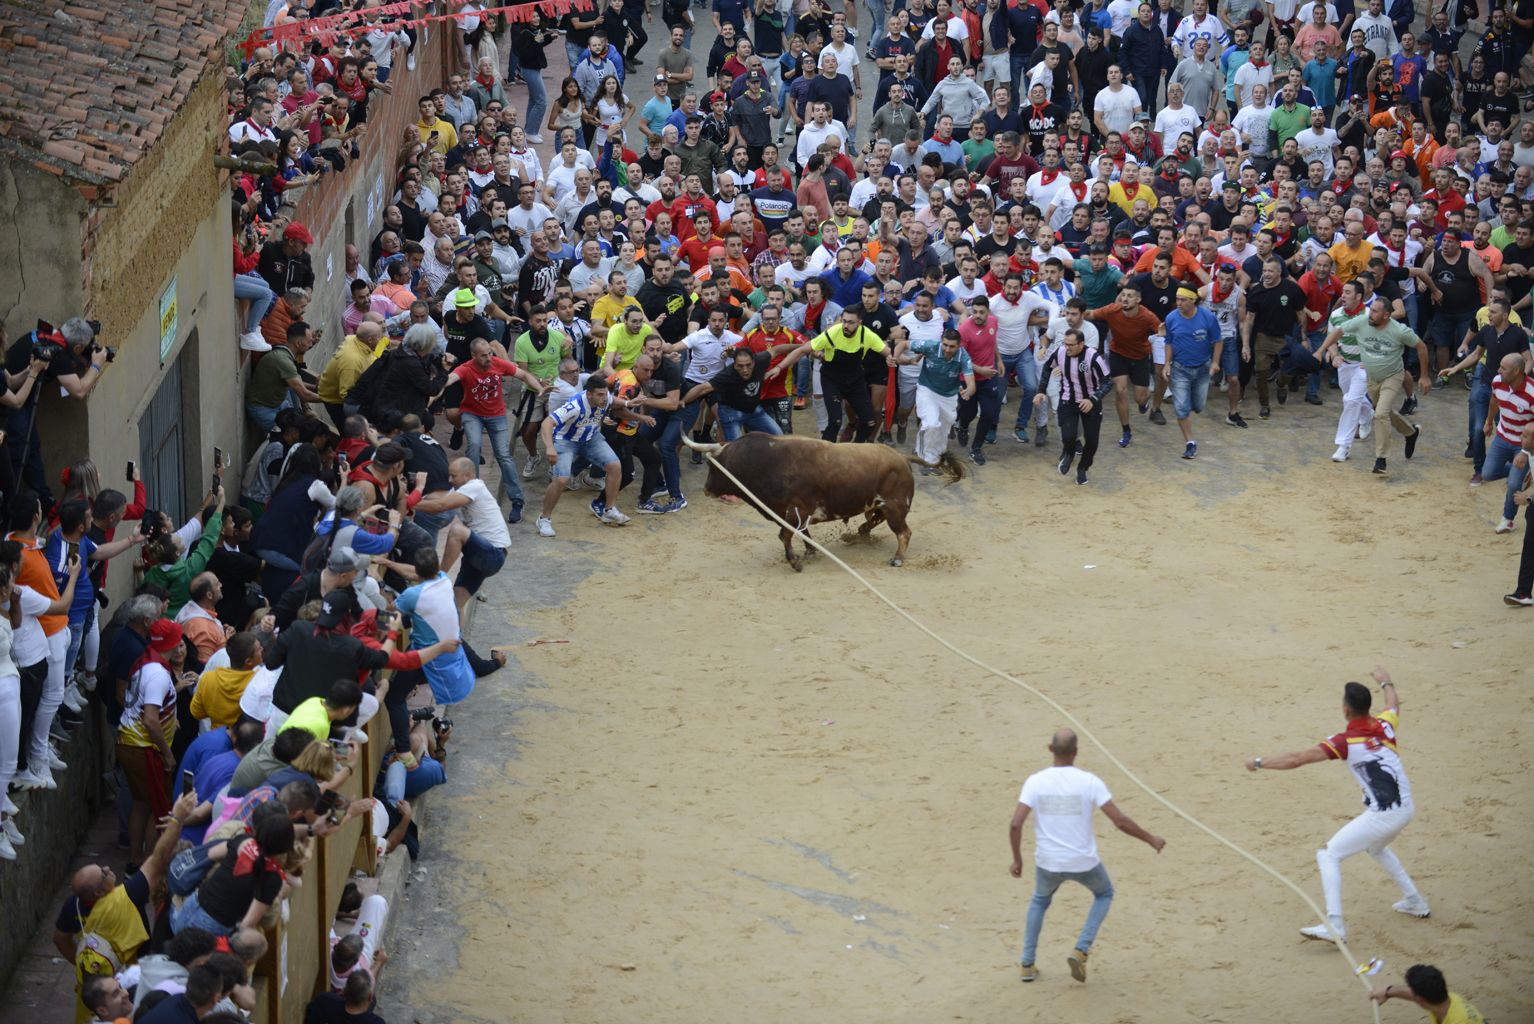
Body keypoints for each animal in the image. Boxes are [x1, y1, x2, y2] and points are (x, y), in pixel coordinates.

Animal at [681, 435, 957, 573]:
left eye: (712, 467)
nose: (705, 489)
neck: (767, 462)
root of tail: (901, 457)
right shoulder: (796, 514)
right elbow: (801, 533)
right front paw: (810, 552)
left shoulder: (796, 510)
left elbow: (785, 535)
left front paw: (795, 562)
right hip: (879, 506)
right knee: (873, 521)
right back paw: (859, 534)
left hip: (895, 507)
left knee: (904, 532)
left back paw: (897, 559)